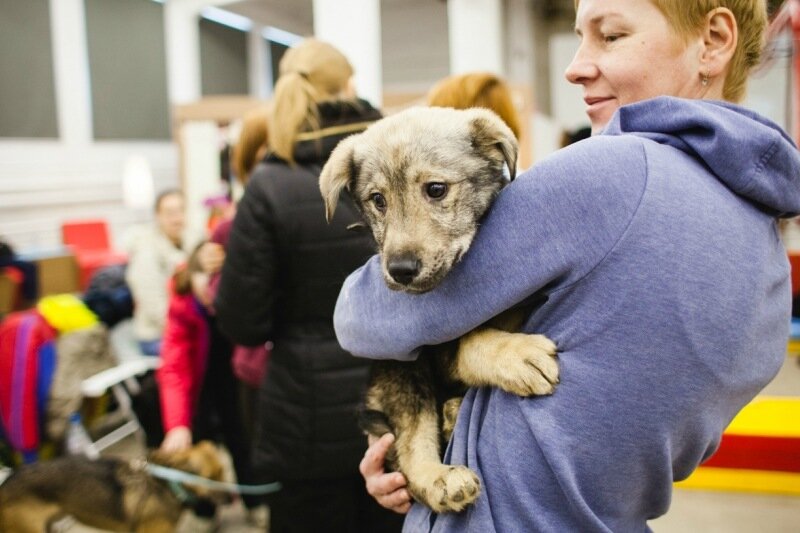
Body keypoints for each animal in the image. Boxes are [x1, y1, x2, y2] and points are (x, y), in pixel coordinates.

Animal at [322, 107, 560, 512]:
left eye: (436, 189)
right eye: (378, 200)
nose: (400, 270)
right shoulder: (438, 352)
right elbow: (474, 341)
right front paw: (519, 356)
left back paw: (452, 413)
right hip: (401, 373)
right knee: (411, 446)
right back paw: (440, 477)